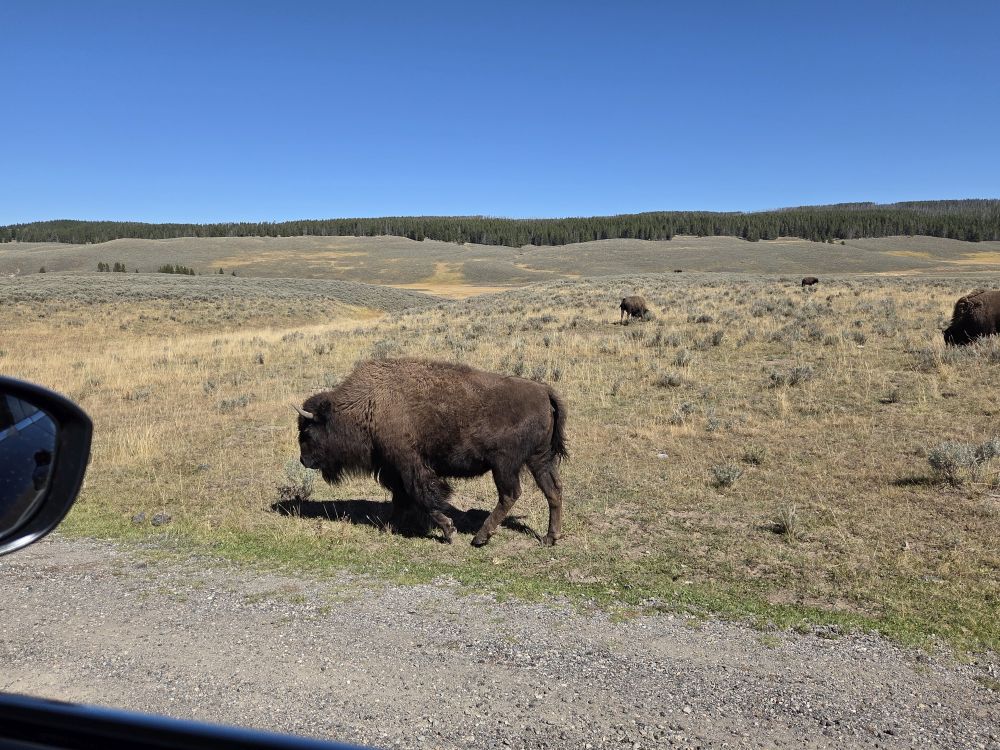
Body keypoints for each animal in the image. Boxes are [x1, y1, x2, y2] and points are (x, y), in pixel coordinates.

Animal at [296, 358, 567, 547]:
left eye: (307, 431)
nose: (303, 460)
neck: (369, 404)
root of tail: (544, 392)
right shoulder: (394, 470)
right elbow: (401, 499)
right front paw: (387, 526)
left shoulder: (410, 465)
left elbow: (423, 496)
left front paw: (448, 530)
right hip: (539, 460)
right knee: (553, 491)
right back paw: (549, 538)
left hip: (504, 465)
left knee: (510, 495)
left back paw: (480, 537)